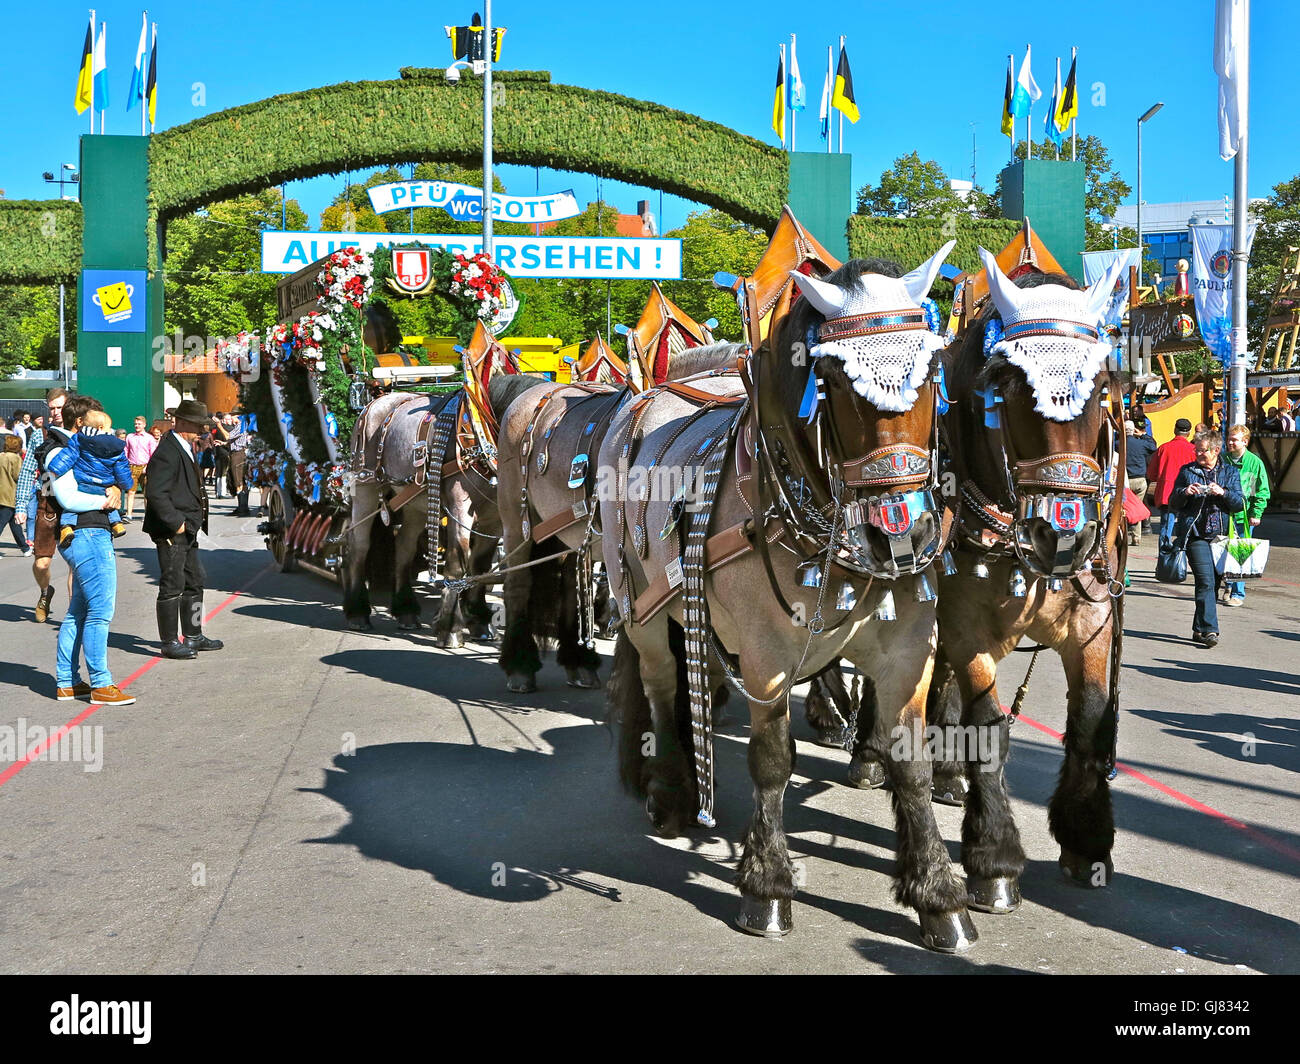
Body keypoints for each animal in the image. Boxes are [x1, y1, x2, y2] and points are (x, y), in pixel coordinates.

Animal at [603, 248, 977, 952]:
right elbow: (773, 761)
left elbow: (911, 763)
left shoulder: (908, 652)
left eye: (932, 374)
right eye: (833, 383)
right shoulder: (765, 658)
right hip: (640, 604)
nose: (906, 530)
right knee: (663, 684)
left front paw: (939, 894)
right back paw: (671, 791)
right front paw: (767, 885)